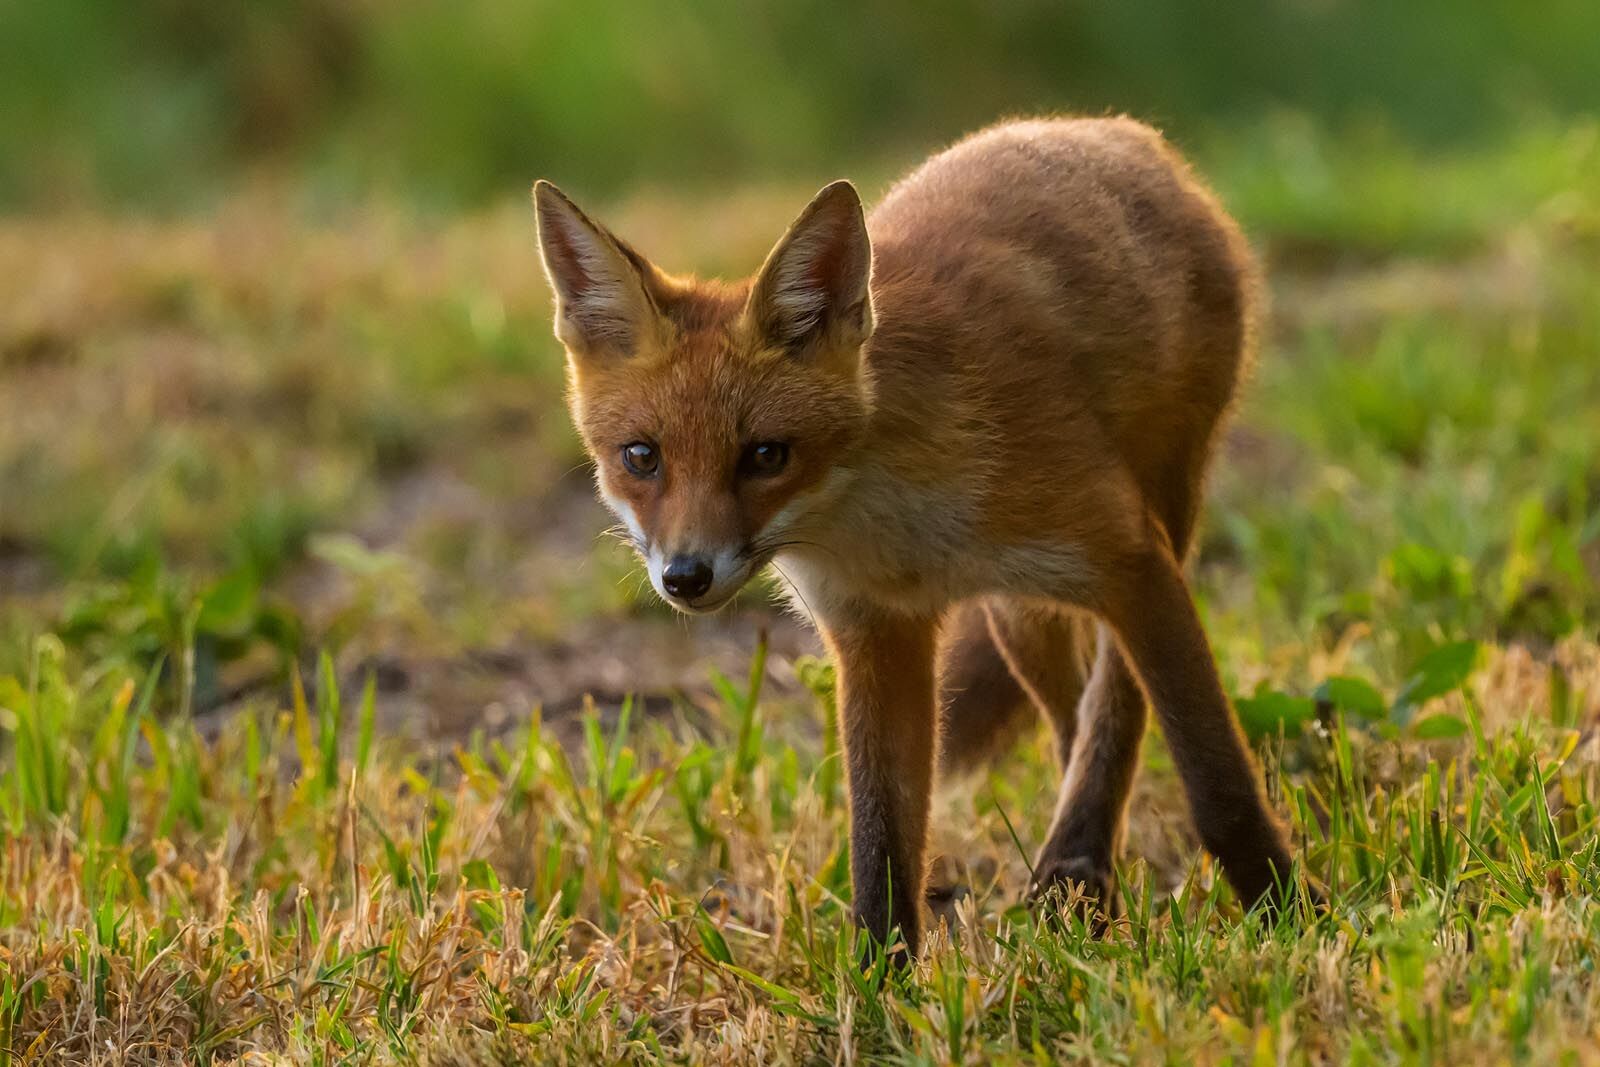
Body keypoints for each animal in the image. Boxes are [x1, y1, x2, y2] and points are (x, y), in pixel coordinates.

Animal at [532, 116, 1315, 959]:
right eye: (642, 457)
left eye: (766, 455)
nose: (685, 576)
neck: (899, 539)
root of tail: (1117, 130)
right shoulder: (877, 633)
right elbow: (881, 843)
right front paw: (880, 980)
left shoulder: (1129, 560)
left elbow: (1216, 776)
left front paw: (1290, 911)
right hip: (1020, 617)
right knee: (1074, 720)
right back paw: (1082, 866)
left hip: (1160, 515)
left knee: (1115, 705)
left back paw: (1080, 858)